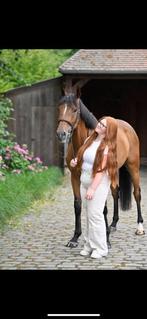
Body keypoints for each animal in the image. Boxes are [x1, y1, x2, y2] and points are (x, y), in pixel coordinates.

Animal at [56, 90, 145, 250]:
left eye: (74, 110)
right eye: (59, 108)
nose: (61, 134)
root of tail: (127, 126)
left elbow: (102, 208)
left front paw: (106, 240)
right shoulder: (74, 176)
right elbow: (77, 204)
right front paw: (75, 238)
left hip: (133, 167)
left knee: (137, 194)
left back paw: (139, 227)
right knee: (116, 193)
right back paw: (113, 224)